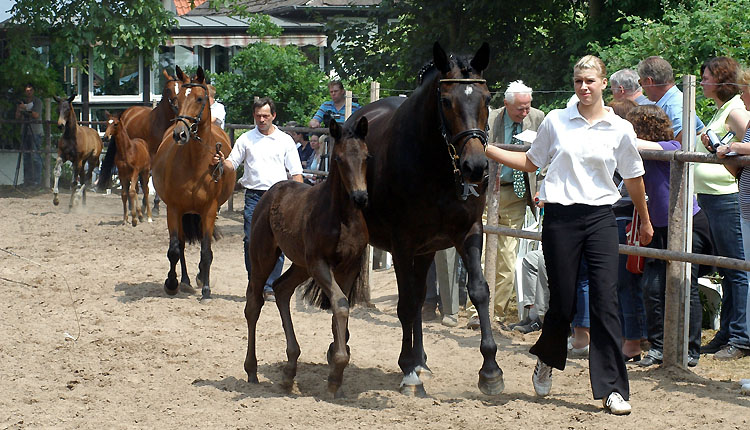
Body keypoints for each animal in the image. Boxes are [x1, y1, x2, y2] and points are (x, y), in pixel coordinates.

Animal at [120, 66, 189, 214]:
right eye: (168, 89)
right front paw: (149, 205)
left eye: (181, 88)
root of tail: (128, 112)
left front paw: (155, 205)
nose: (177, 107)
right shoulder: (152, 154)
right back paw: (131, 204)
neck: (162, 123)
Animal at [151, 67, 236, 300]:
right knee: (180, 245)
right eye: (177, 99)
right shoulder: (174, 209)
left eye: (199, 98)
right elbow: (174, 249)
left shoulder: (209, 210)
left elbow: (206, 250)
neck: (195, 162)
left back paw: (198, 277)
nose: (180, 134)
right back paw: (186, 281)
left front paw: (206, 289)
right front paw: (172, 283)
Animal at [245, 116, 372, 400]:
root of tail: (273, 190)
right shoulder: (319, 264)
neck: (343, 217)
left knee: (281, 289)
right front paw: (336, 372)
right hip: (264, 256)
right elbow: (339, 304)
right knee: (254, 304)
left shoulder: (347, 267)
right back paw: (252, 369)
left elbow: (340, 306)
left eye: (366, 157)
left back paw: (290, 369)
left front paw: (336, 372)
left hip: (300, 264)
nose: (360, 197)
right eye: (338, 159)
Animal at [348, 42, 502, 396]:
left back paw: (421, 361)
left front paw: (490, 371)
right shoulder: (402, 243)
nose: (476, 167)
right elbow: (404, 304)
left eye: (487, 99)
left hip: (427, 250)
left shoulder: (469, 233)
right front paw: (407, 371)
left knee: (420, 297)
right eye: (446, 101)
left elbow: (478, 291)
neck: (436, 167)